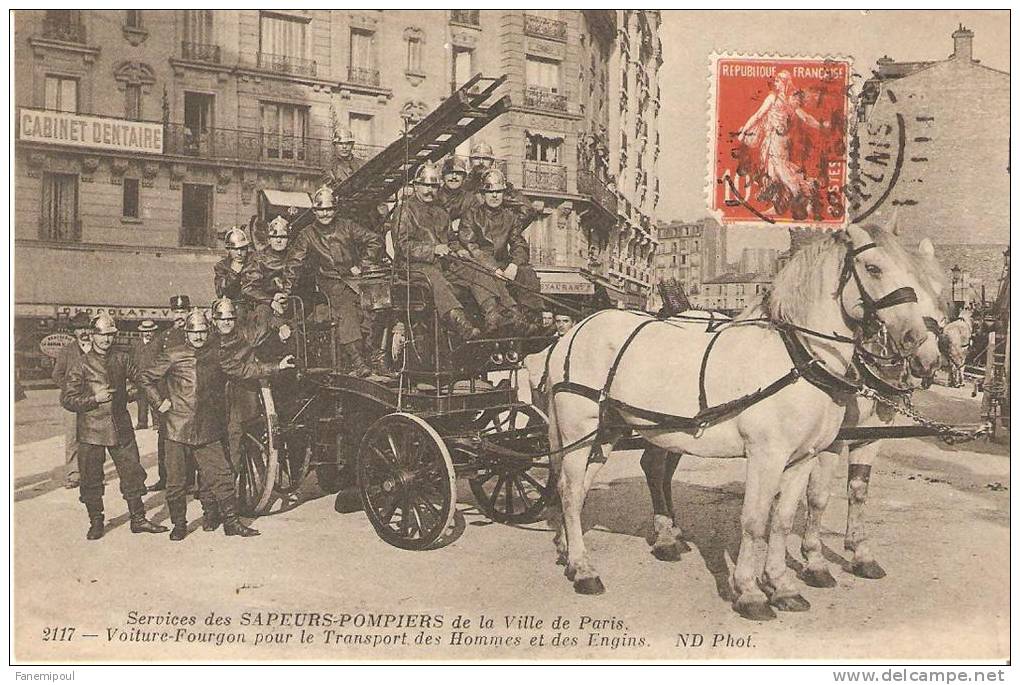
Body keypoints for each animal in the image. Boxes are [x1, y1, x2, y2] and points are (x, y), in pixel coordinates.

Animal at [542, 222, 938, 619]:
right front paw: (750, 592)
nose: (917, 340)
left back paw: (571, 551)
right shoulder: (767, 456)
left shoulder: (804, 457)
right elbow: (754, 520)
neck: (798, 358)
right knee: (571, 490)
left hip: (608, 430)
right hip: (580, 427)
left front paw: (783, 586)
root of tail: (575, 330)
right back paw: (584, 569)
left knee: (579, 487)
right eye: (873, 268)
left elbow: (782, 520)